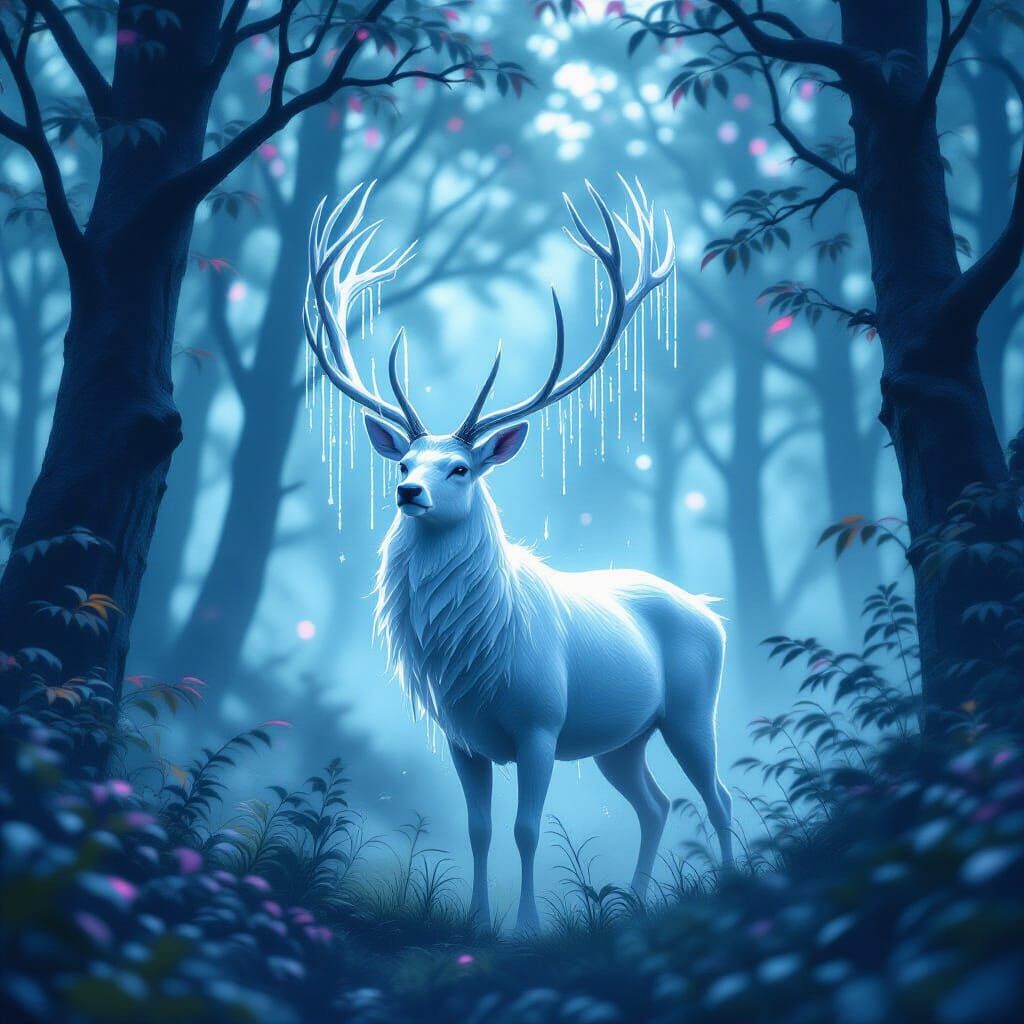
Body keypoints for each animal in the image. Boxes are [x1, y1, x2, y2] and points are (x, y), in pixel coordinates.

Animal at [302, 178, 732, 933]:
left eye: (460, 469)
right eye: (407, 460)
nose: (407, 491)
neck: (473, 652)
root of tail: (711, 612)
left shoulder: (540, 725)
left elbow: (526, 830)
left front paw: (527, 926)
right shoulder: (462, 737)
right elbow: (478, 830)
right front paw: (478, 922)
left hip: (688, 710)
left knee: (717, 796)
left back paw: (734, 881)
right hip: (622, 738)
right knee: (654, 805)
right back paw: (633, 902)